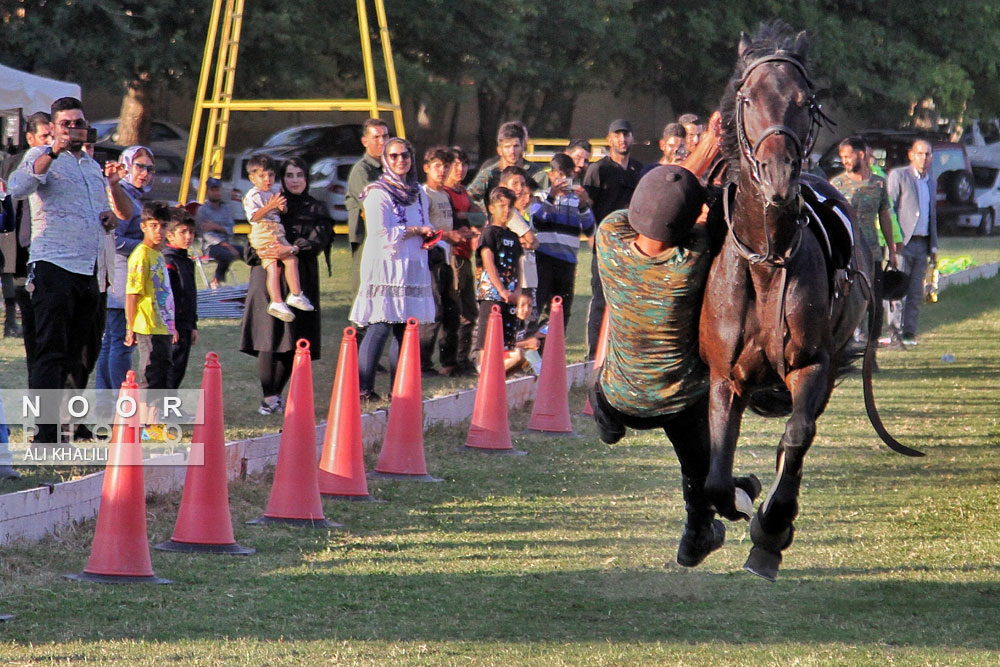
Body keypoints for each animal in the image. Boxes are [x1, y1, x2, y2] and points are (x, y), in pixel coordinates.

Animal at [696, 23, 920, 580]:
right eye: (748, 98)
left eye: (806, 100)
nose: (778, 175)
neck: (768, 260)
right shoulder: (724, 376)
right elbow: (717, 475)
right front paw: (742, 495)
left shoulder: (814, 363)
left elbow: (797, 436)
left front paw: (770, 531)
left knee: (798, 434)